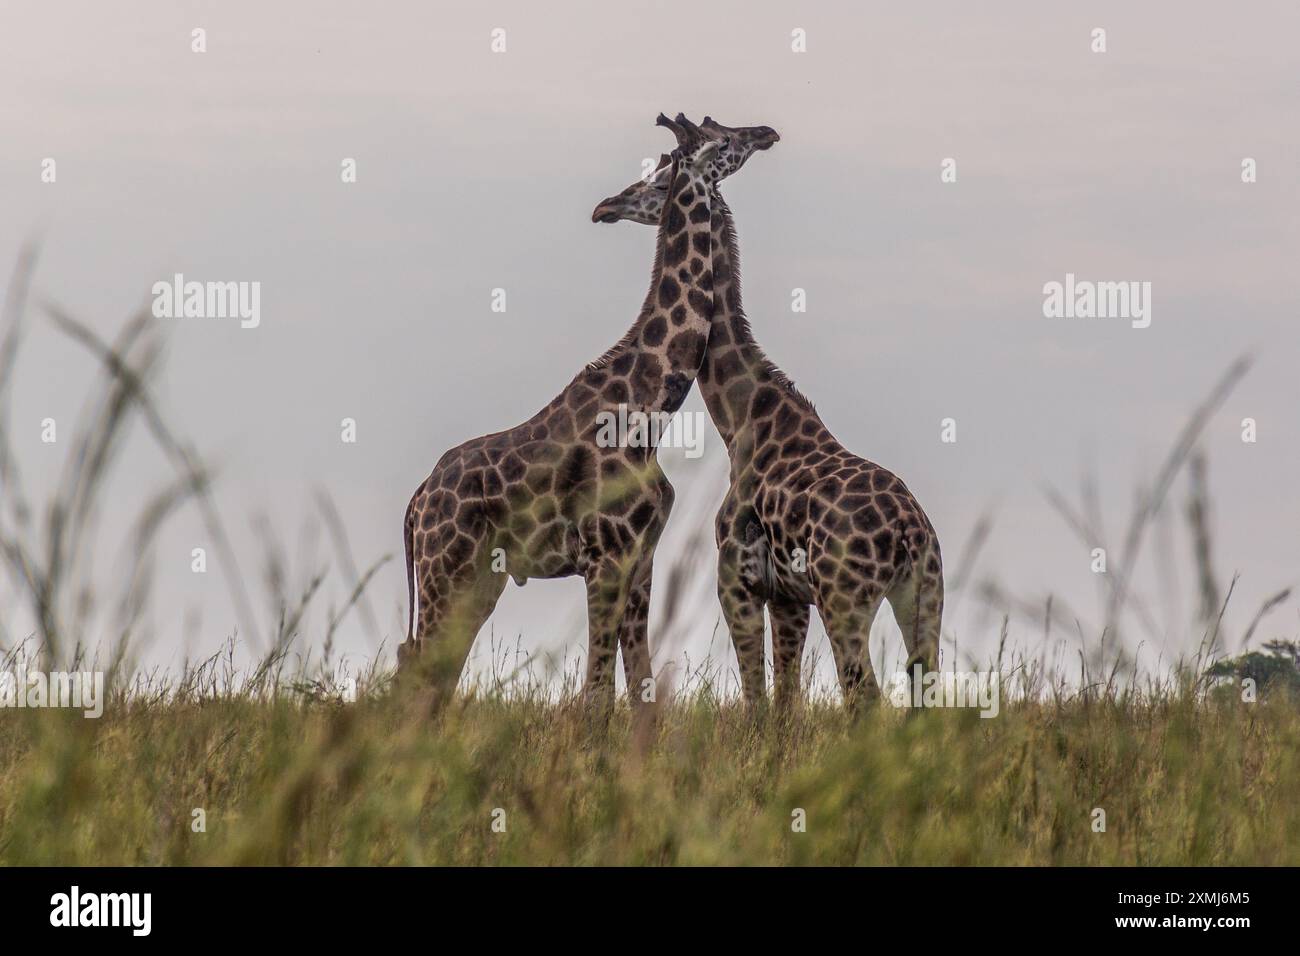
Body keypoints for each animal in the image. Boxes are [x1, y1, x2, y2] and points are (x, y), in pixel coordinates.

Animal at [398, 116, 763, 717]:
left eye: (658, 174)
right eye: (725, 140)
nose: (767, 133)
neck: (649, 410)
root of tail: (416, 503)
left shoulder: (641, 559)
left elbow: (640, 691)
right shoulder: (605, 558)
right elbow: (594, 696)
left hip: (478, 583)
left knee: (431, 676)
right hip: (444, 572)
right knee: (416, 672)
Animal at [591, 115, 944, 713]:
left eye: (659, 177)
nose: (606, 206)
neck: (742, 418)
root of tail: (909, 531)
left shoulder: (737, 581)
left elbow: (757, 697)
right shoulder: (789, 597)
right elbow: (786, 703)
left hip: (847, 598)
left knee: (866, 697)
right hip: (925, 594)